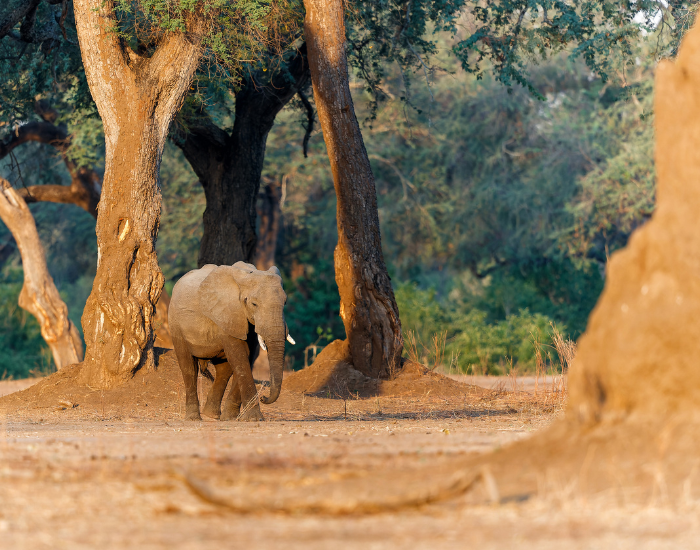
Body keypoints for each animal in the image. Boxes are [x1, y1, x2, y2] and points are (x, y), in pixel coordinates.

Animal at [168, 261, 293, 421]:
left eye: (285, 302)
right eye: (254, 304)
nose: (264, 397)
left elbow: (247, 357)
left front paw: (231, 418)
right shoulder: (228, 315)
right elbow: (239, 356)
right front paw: (254, 418)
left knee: (224, 370)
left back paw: (212, 415)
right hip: (175, 324)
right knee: (189, 367)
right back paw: (194, 418)